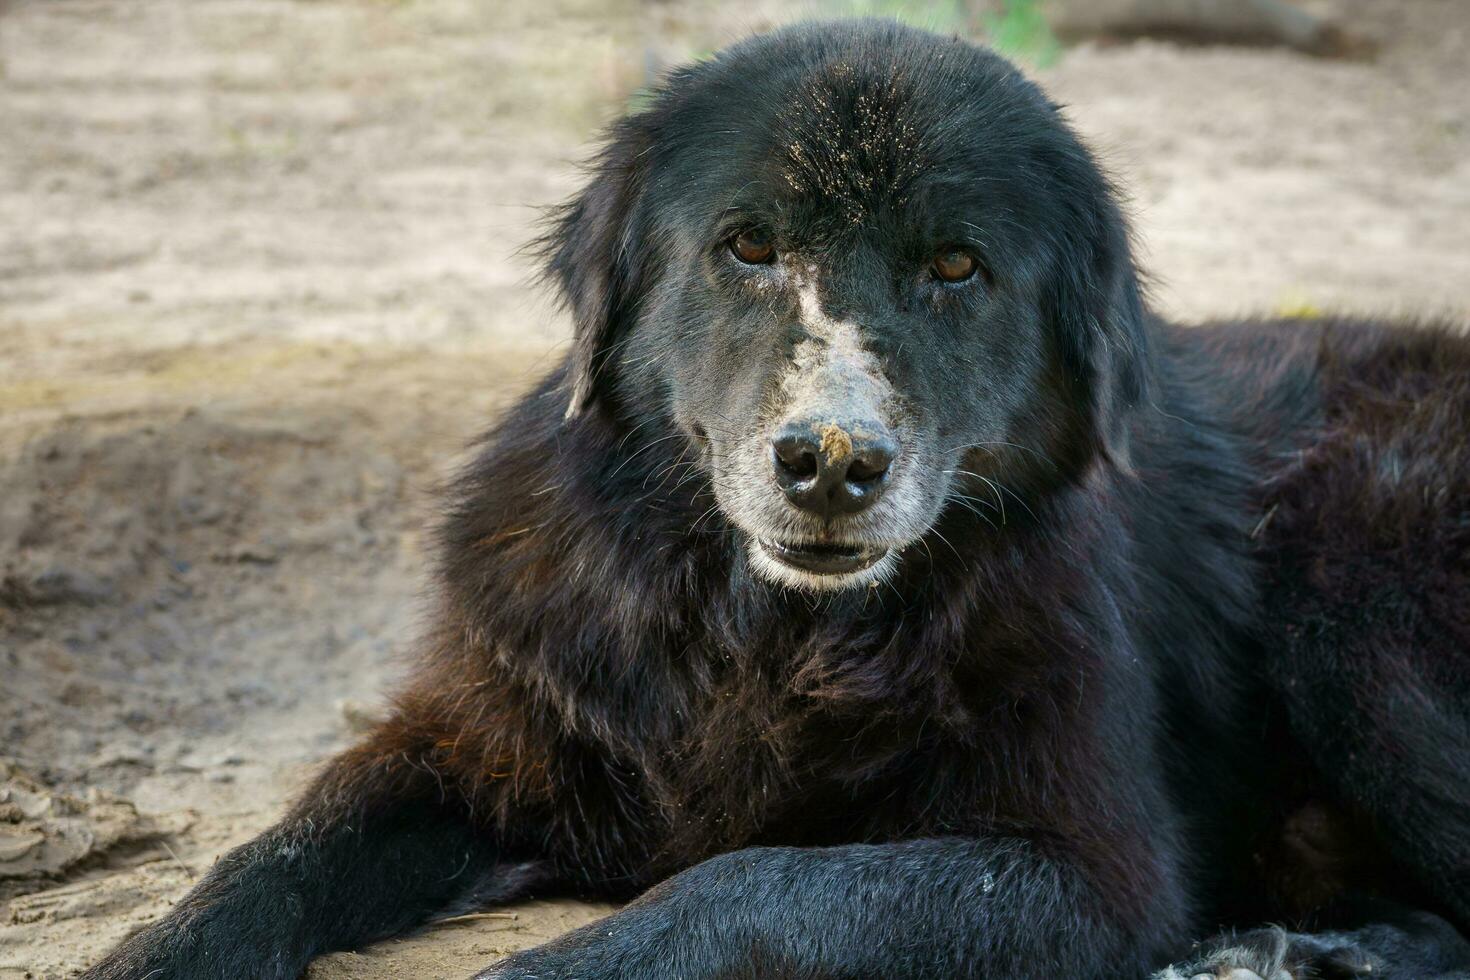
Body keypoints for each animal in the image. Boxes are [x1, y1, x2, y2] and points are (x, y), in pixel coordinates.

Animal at [83, 17, 1470, 980]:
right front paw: (153, 950)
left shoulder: (1087, 873)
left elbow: (749, 884)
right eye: (748, 245)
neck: (761, 636)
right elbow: (275, 854)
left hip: (1355, 608)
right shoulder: (482, 741)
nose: (833, 463)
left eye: (957, 267)